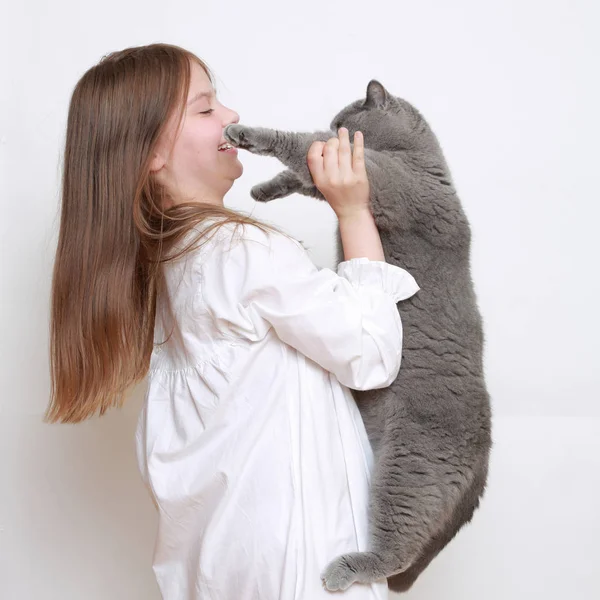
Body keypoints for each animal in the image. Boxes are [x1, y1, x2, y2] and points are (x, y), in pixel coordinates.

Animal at [223, 81, 490, 596]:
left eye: (345, 122)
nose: (337, 128)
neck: (419, 158)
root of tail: (484, 457)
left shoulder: (381, 179)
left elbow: (303, 144)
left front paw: (247, 133)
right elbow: (308, 173)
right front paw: (265, 189)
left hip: (411, 467)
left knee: (399, 546)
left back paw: (345, 568)